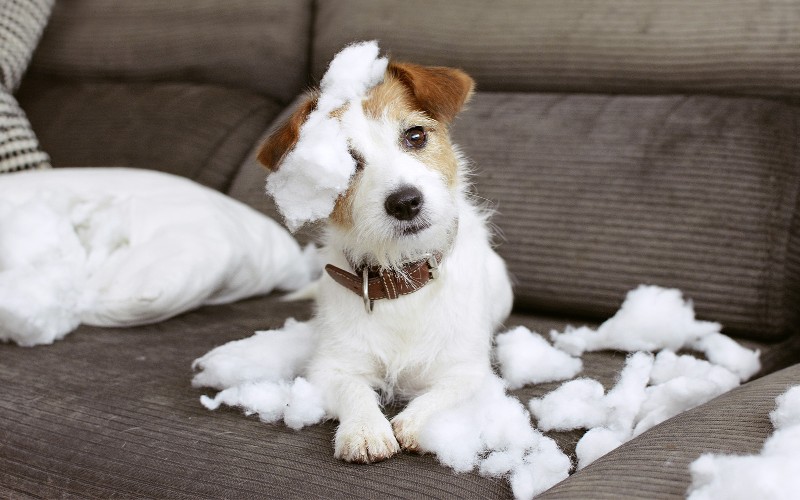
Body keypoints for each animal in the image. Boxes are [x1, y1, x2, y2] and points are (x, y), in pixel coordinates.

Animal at [260, 57, 516, 460]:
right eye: (346, 163)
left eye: (415, 136)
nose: (406, 202)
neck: (401, 277)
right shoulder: (332, 368)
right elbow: (353, 390)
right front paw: (365, 429)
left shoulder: (467, 371)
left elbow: (442, 394)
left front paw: (414, 422)